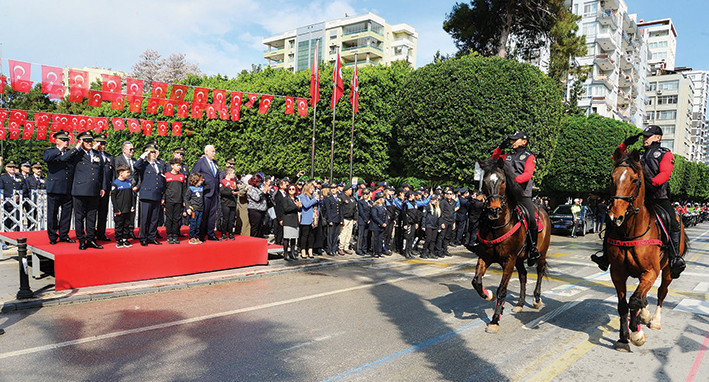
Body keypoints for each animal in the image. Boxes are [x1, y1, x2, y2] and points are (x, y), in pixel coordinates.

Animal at [472, 157, 552, 332]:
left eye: (502, 180)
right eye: (485, 181)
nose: (493, 210)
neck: (496, 227)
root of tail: (543, 210)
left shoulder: (509, 260)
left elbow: (502, 289)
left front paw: (495, 320)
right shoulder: (485, 257)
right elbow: (476, 282)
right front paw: (488, 295)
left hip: (541, 253)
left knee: (540, 271)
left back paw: (537, 299)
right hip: (520, 259)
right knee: (523, 275)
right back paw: (520, 303)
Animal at [604, 149, 684, 352]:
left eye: (634, 180)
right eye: (612, 178)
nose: (615, 217)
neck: (630, 232)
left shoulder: (651, 271)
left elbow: (634, 301)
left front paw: (636, 333)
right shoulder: (618, 273)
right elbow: (624, 305)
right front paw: (623, 338)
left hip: (668, 270)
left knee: (661, 292)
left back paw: (654, 320)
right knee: (644, 295)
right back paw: (645, 314)